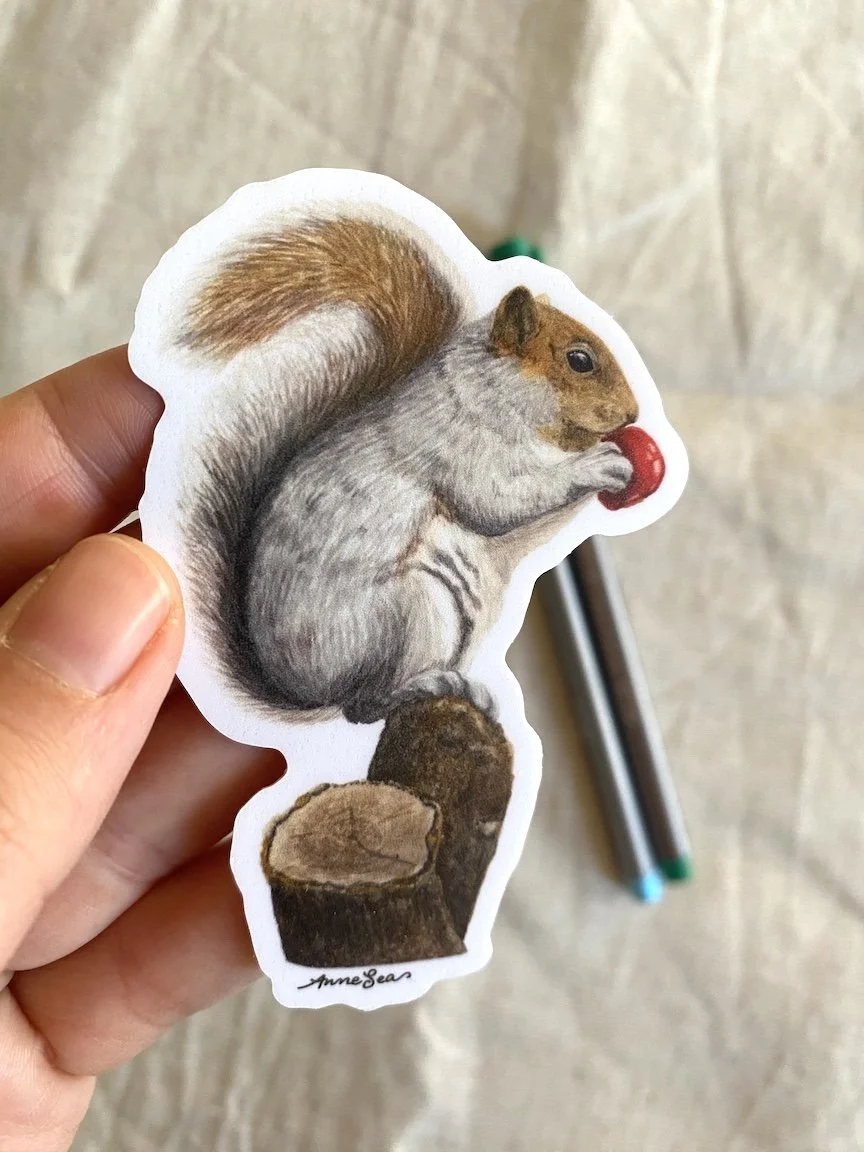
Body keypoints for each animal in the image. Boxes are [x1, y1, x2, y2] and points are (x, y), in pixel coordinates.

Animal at [178, 215, 638, 725]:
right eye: (579, 360)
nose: (633, 414)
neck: (483, 389)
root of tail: (304, 690)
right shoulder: (456, 448)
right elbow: (496, 505)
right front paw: (600, 465)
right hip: (410, 614)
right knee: (364, 706)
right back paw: (430, 684)